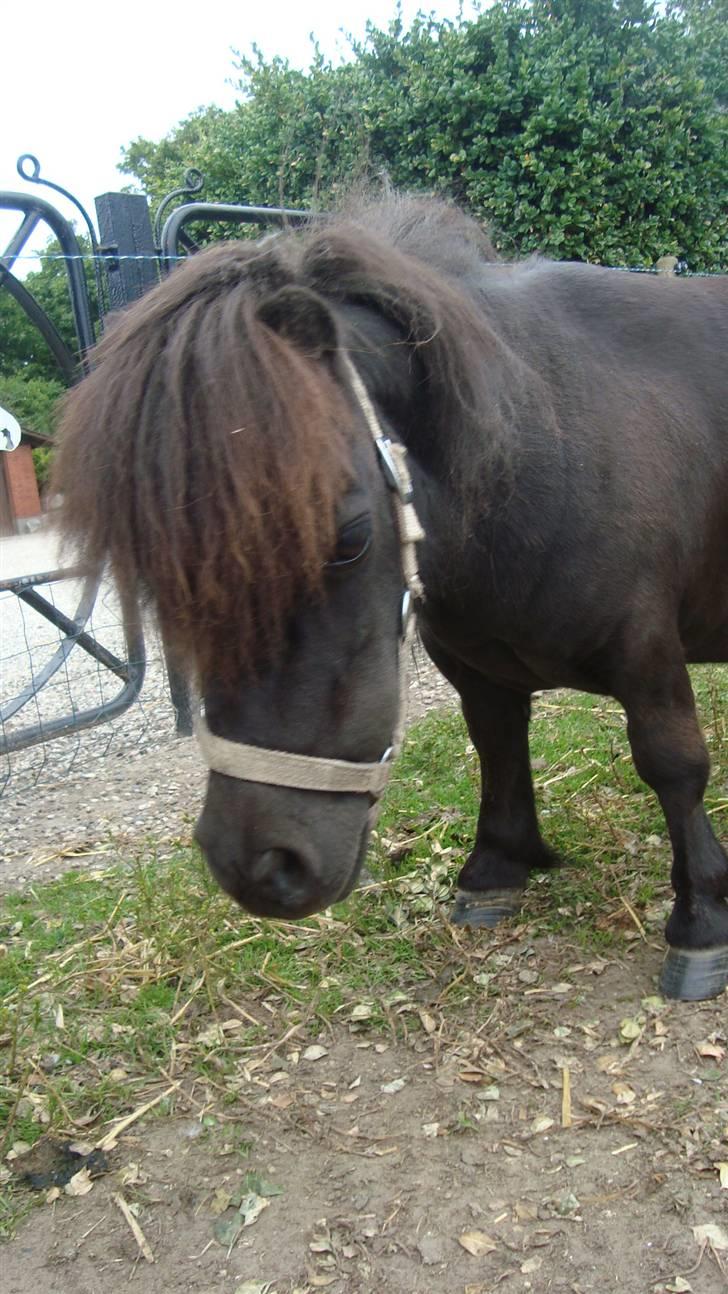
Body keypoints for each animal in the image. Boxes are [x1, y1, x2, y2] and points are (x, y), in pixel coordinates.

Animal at [53, 194, 728, 1002]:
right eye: (158, 567)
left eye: (349, 537)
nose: (262, 868)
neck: (543, 444)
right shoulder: (481, 670)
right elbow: (496, 747)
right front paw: (497, 868)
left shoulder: (648, 658)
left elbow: (673, 766)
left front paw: (700, 921)